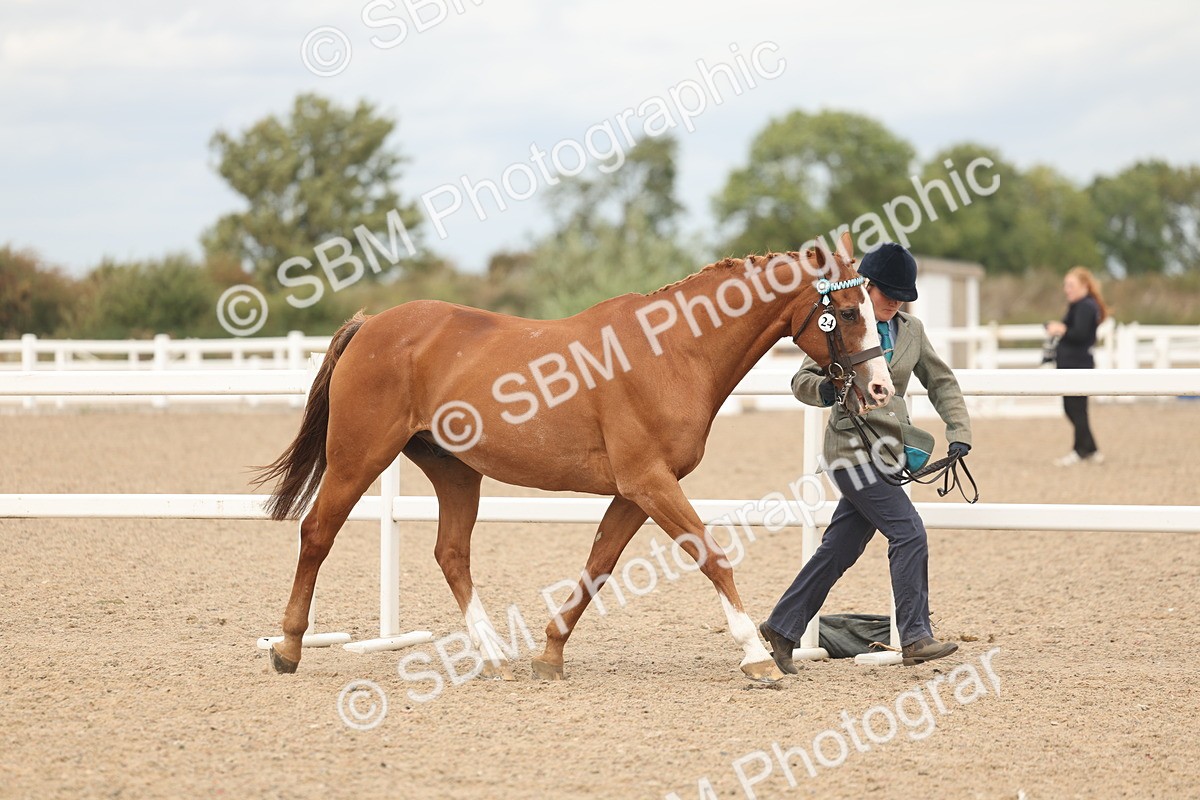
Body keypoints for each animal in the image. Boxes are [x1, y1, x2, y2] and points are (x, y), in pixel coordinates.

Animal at [256, 231, 894, 683]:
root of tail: (371, 326)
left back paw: (494, 655)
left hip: (454, 470)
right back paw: (288, 648)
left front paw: (550, 654)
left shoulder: (636, 492)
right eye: (849, 312)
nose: (882, 389)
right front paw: (756, 657)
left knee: (451, 554)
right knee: (317, 534)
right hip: (358, 458)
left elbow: (598, 566)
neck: (674, 352)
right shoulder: (650, 483)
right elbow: (713, 558)